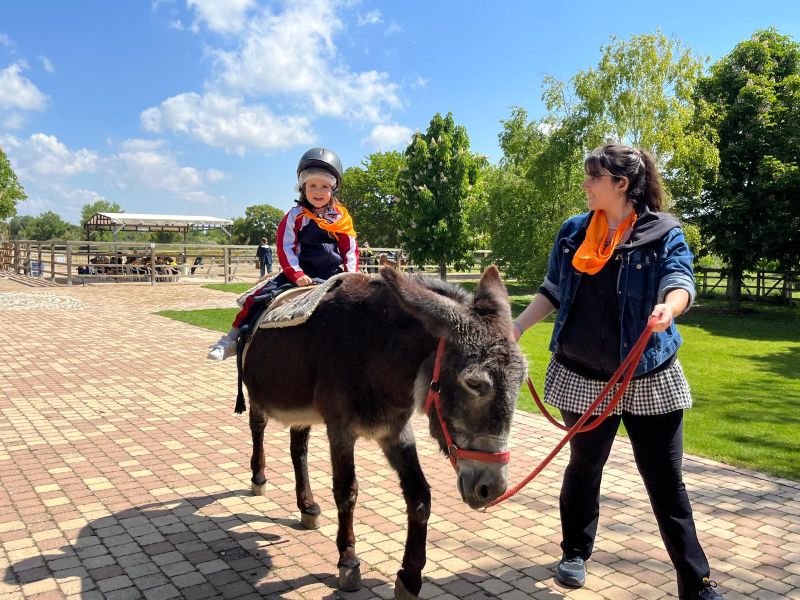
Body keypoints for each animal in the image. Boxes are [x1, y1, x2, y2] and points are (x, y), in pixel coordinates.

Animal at [241, 266, 527, 600]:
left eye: (522, 381)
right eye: (475, 383)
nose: (492, 488)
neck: (374, 349)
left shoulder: (395, 431)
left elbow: (420, 496)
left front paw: (410, 577)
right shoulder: (340, 429)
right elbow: (346, 492)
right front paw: (348, 561)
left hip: (302, 409)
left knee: (298, 448)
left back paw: (307, 506)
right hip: (257, 394)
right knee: (258, 428)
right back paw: (258, 478)